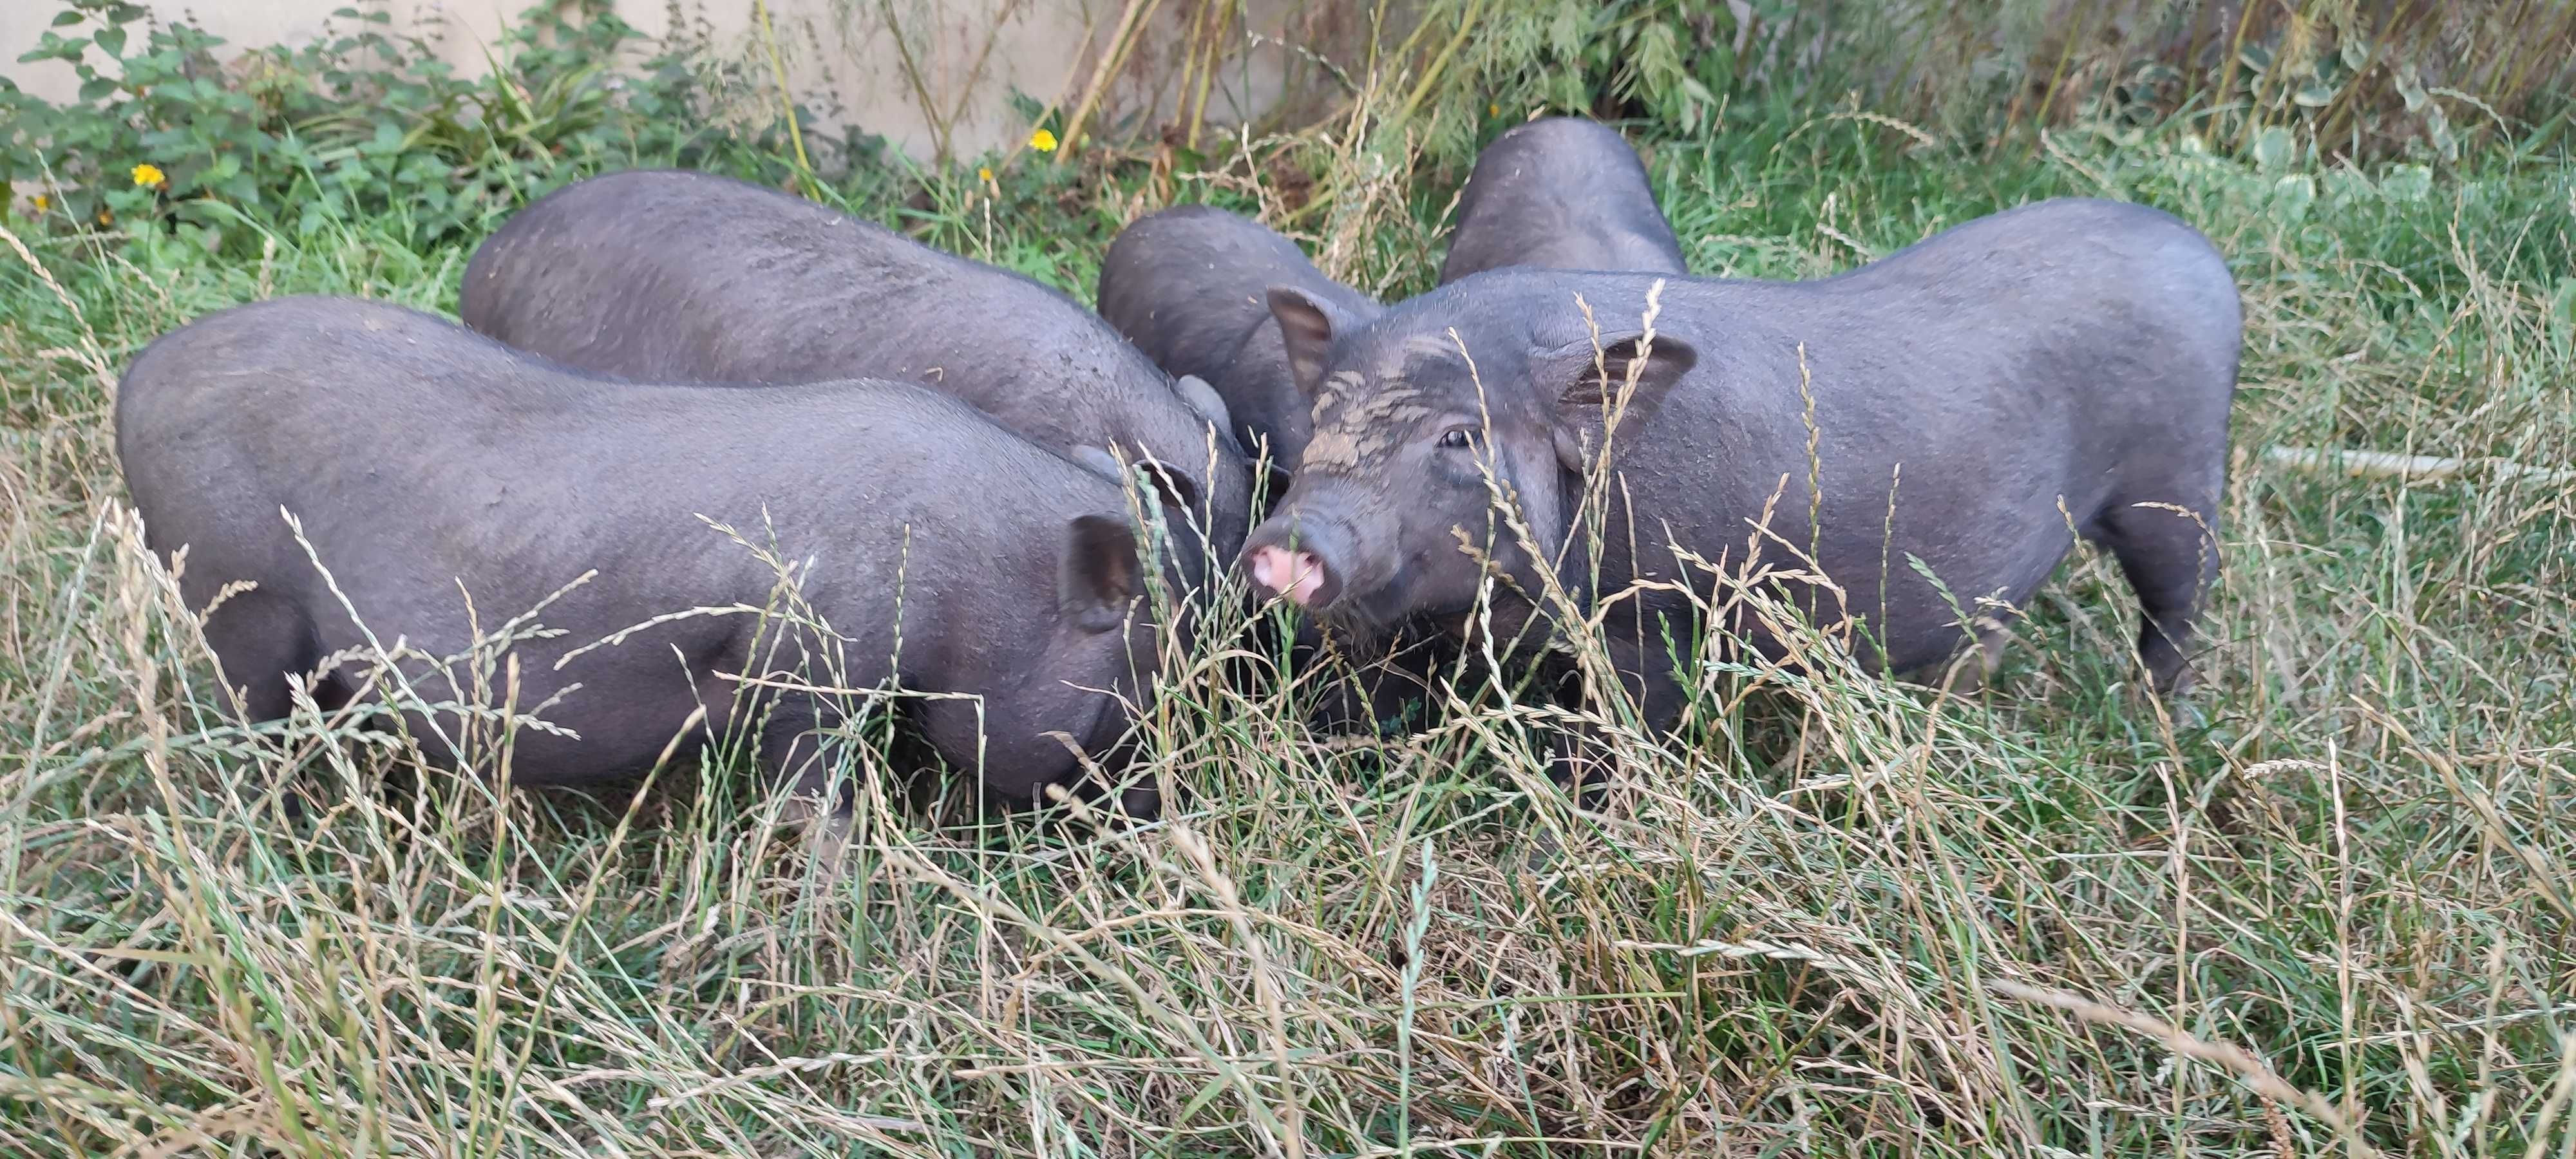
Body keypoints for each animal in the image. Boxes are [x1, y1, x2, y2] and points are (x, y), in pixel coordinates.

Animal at [118, 299, 1195, 824]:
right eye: (1138, 681)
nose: (1157, 812)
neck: (968, 568)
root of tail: (136, 376)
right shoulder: (810, 675)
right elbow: (817, 799)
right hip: (235, 600)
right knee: (254, 725)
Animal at [1242, 194, 2236, 731]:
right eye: (1324, 415)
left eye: (1458, 437)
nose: (1295, 534)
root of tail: (2203, 256)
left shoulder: (1654, 622)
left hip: (2176, 482)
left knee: (2182, 596)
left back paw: (2160, 715)